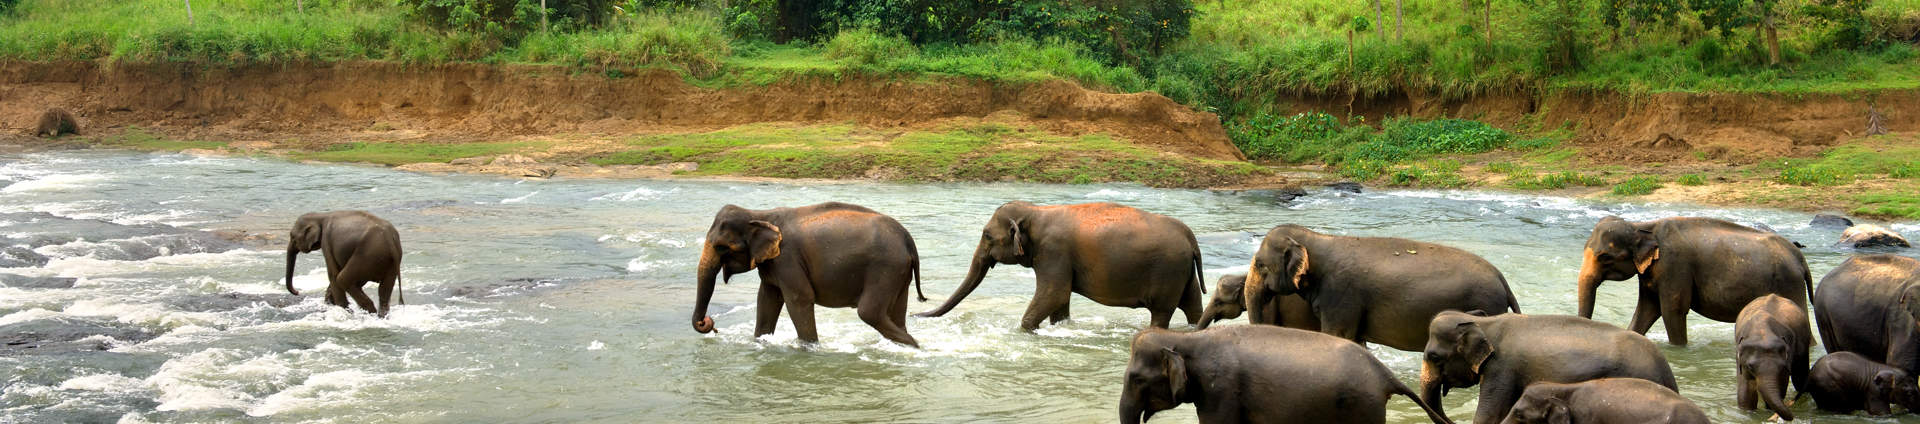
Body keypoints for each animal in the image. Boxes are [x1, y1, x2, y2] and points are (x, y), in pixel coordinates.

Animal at [690, 203, 926, 347]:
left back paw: (914, 346)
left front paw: (808, 349)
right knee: (895, 313)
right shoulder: (772, 264)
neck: (759, 214)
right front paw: (760, 342)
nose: (708, 323)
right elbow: (766, 299)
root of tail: (908, 239)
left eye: (721, 247)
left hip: (885, 268)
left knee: (869, 312)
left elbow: (799, 298)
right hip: (899, 273)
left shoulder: (787, 259)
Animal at [917, 201, 1205, 330]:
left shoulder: (1053, 253)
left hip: (1168, 271)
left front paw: (1027, 330)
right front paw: (1061, 327)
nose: (918, 313)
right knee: (1193, 306)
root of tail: (1190, 235)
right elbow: (1060, 301)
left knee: (1162, 312)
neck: (1035, 212)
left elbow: (1053, 294)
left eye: (987, 236)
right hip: (1184, 272)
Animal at [1241, 224, 1521, 351]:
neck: (1316, 238)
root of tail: (1502, 279)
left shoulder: (1342, 297)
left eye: (1261, 265)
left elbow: (1336, 335)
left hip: (1486, 303)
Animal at [1575, 216, 1812, 346]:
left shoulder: (1675, 265)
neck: (1642, 226)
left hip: (1789, 284)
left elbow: (1672, 310)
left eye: (1605, 257)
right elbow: (1647, 309)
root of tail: (1798, 256)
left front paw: (1679, 349)